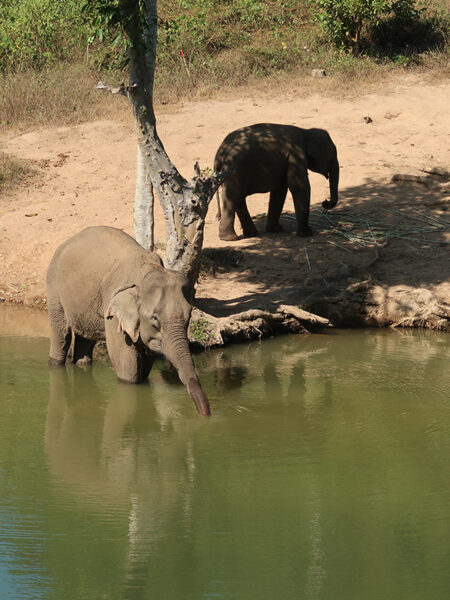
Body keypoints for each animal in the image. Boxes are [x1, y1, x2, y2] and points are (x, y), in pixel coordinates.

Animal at [46, 226, 212, 418]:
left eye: (189, 317)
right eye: (155, 318)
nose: (206, 414)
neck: (146, 271)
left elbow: (145, 361)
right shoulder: (112, 306)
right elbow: (127, 362)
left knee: (85, 339)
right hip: (54, 287)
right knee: (61, 333)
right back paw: (56, 363)